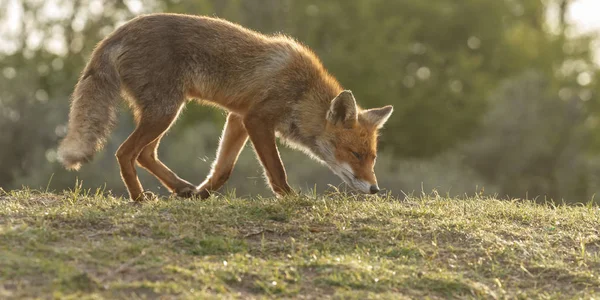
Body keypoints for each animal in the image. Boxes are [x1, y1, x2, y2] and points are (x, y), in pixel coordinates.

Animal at [56, 14, 394, 202]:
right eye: (356, 155)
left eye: (373, 158)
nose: (375, 189)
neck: (302, 92)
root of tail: (116, 34)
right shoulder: (257, 119)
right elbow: (277, 170)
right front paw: (291, 199)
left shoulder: (237, 118)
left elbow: (222, 170)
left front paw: (202, 195)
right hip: (165, 112)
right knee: (126, 153)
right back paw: (139, 198)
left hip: (162, 113)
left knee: (144, 154)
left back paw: (181, 188)